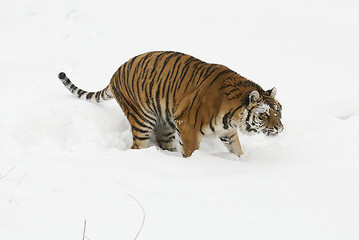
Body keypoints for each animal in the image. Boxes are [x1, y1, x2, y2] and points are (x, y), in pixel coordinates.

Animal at [57, 50, 284, 158]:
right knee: (136, 146)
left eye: (279, 112)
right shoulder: (187, 127)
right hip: (142, 120)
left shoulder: (227, 132)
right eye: (264, 115)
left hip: (164, 125)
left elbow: (237, 150)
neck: (233, 114)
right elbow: (191, 152)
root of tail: (114, 74)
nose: (280, 128)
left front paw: (242, 163)